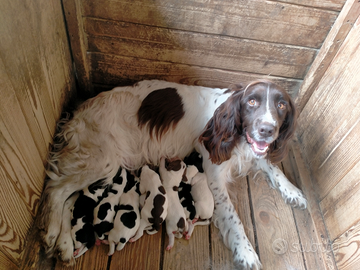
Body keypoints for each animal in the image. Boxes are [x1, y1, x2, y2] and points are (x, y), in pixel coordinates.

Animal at [37, 78, 306, 268]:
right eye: (252, 102)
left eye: (281, 105)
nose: (267, 130)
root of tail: (82, 108)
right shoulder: (214, 175)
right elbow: (233, 217)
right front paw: (246, 252)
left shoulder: (253, 151)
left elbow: (272, 166)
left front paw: (293, 191)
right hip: (102, 161)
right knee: (57, 190)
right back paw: (51, 234)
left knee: (70, 199)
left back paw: (63, 246)